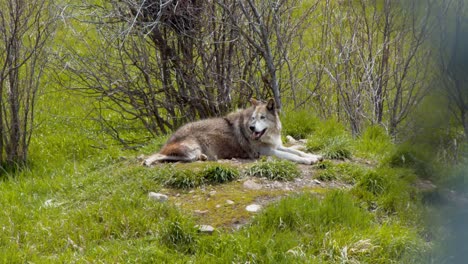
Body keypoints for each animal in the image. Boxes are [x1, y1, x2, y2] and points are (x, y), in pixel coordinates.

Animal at [144, 98, 322, 166]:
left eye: (262, 118)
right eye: (253, 118)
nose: (252, 128)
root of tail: (169, 138)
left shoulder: (277, 146)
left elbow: (296, 151)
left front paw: (314, 156)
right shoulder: (268, 152)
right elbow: (292, 156)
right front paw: (308, 161)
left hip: (191, 153)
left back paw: (203, 158)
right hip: (190, 150)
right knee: (160, 156)